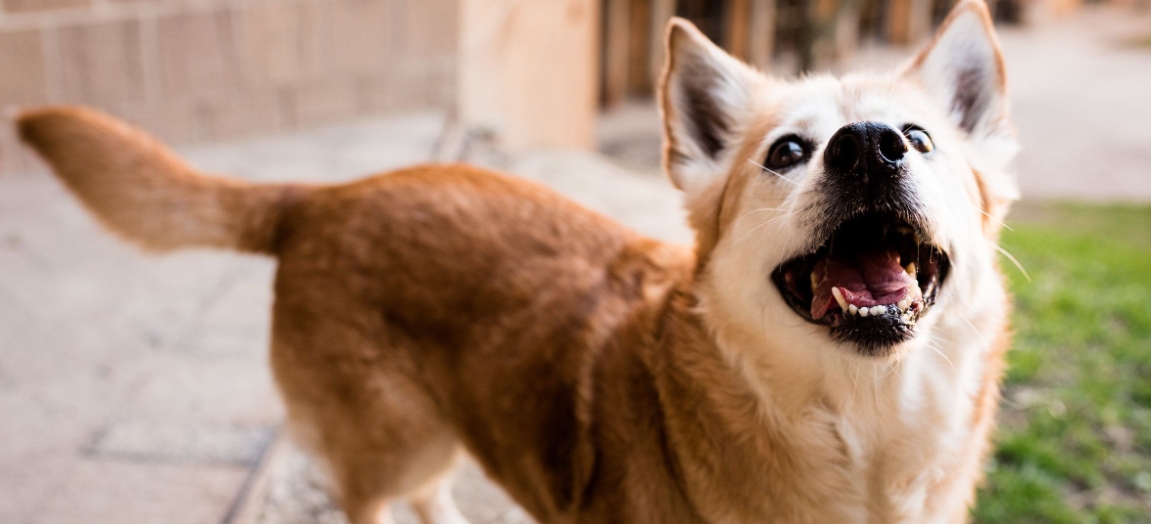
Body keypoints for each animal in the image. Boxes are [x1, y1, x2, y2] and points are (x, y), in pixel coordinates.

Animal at [15, 2, 1017, 522]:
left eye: (918, 138)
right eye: (786, 152)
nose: (870, 146)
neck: (860, 427)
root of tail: (325, 196)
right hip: (388, 441)